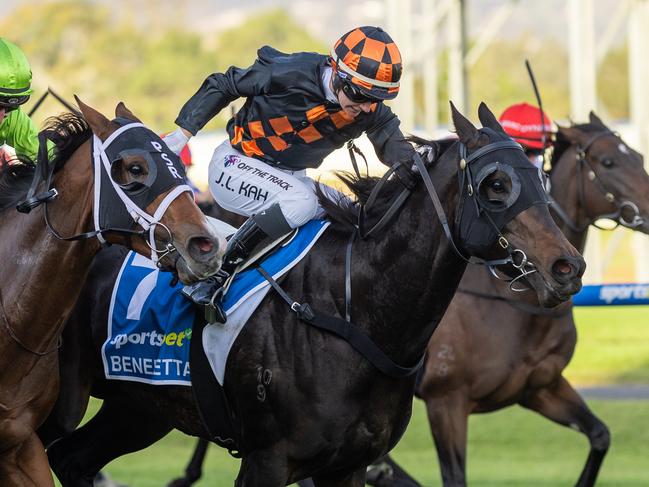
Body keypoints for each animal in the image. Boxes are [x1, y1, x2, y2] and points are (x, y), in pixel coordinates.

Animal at [45, 104, 584, 487]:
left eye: (539, 176)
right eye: (496, 184)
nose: (568, 267)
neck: (349, 311)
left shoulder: (347, 467)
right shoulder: (266, 461)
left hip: (139, 409)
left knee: (70, 460)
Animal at [370, 112, 648, 486]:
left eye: (639, 156)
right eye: (608, 162)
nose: (569, 268)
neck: (510, 303)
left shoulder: (541, 388)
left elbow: (600, 435)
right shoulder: (446, 401)